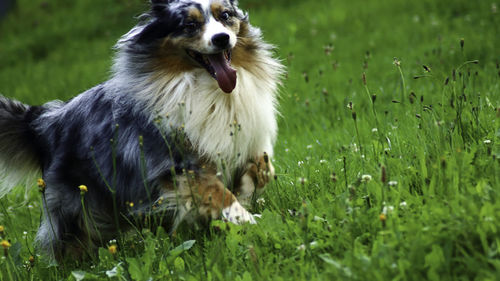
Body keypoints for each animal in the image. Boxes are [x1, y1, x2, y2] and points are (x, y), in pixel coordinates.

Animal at [0, 0, 284, 260]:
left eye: (225, 16)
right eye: (190, 25)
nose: (222, 38)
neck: (209, 90)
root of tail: (45, 121)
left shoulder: (246, 143)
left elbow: (264, 167)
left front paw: (246, 192)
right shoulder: (179, 166)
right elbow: (218, 193)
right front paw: (245, 220)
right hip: (76, 205)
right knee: (68, 243)